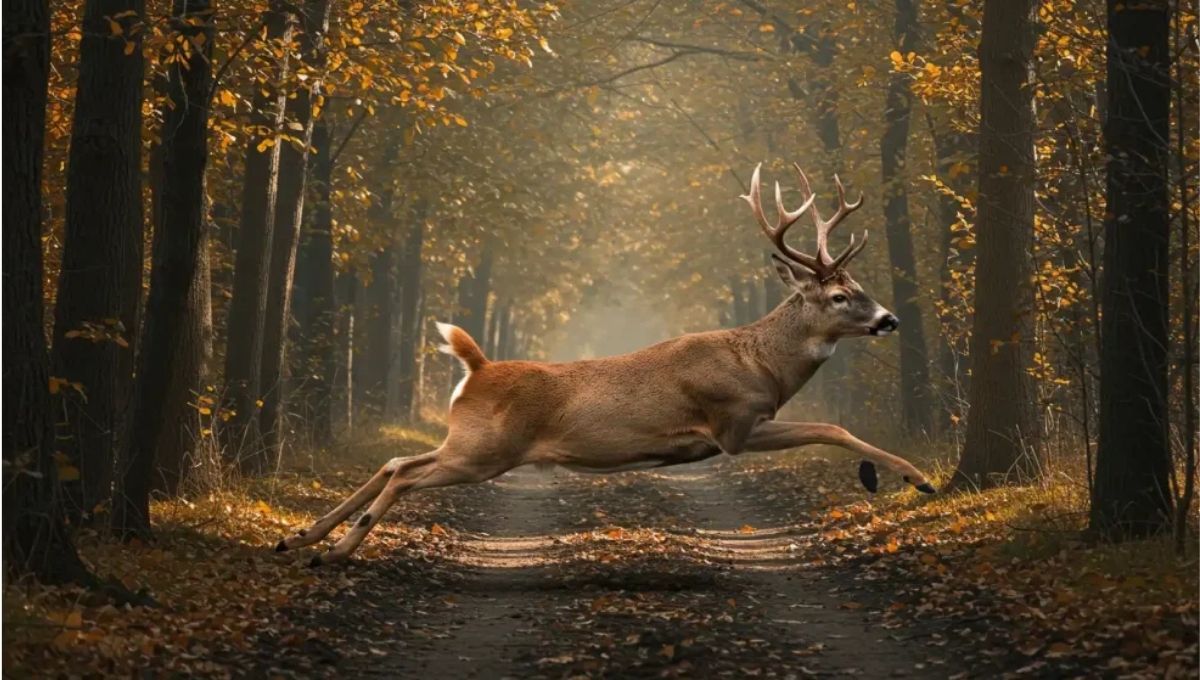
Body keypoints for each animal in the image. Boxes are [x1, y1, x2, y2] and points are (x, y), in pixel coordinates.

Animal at [277, 162, 936, 566]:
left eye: (860, 286)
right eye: (839, 296)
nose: (890, 320)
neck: (762, 366)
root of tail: (477, 368)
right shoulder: (732, 423)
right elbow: (832, 425)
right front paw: (913, 477)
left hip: (470, 442)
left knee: (395, 461)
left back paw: (300, 538)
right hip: (484, 451)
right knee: (407, 473)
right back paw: (333, 551)